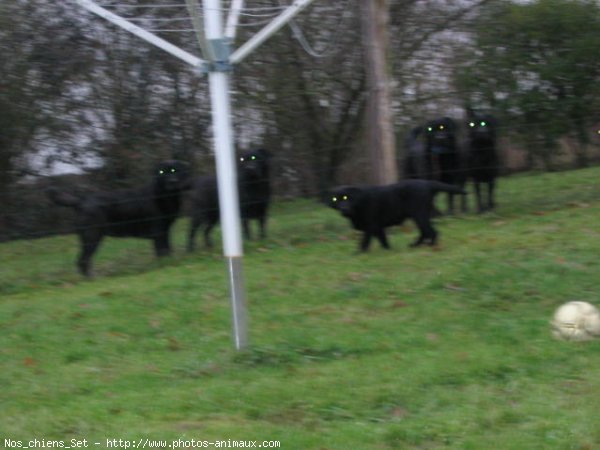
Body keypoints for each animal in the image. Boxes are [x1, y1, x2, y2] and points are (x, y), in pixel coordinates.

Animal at [47, 160, 191, 276]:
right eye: (161, 172)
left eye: (174, 170)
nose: (172, 182)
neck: (164, 196)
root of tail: (81, 200)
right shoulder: (158, 231)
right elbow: (161, 252)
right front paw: (163, 265)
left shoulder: (165, 230)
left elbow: (167, 250)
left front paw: (169, 262)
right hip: (92, 236)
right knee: (83, 260)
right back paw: (91, 279)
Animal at [330, 179, 466, 251]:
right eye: (335, 199)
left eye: (346, 197)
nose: (343, 209)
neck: (360, 202)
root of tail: (427, 183)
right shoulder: (378, 228)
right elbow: (383, 240)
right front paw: (387, 251)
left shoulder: (370, 226)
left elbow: (365, 242)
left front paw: (359, 253)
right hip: (421, 216)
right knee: (426, 232)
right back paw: (415, 245)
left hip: (419, 215)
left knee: (431, 232)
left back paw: (430, 246)